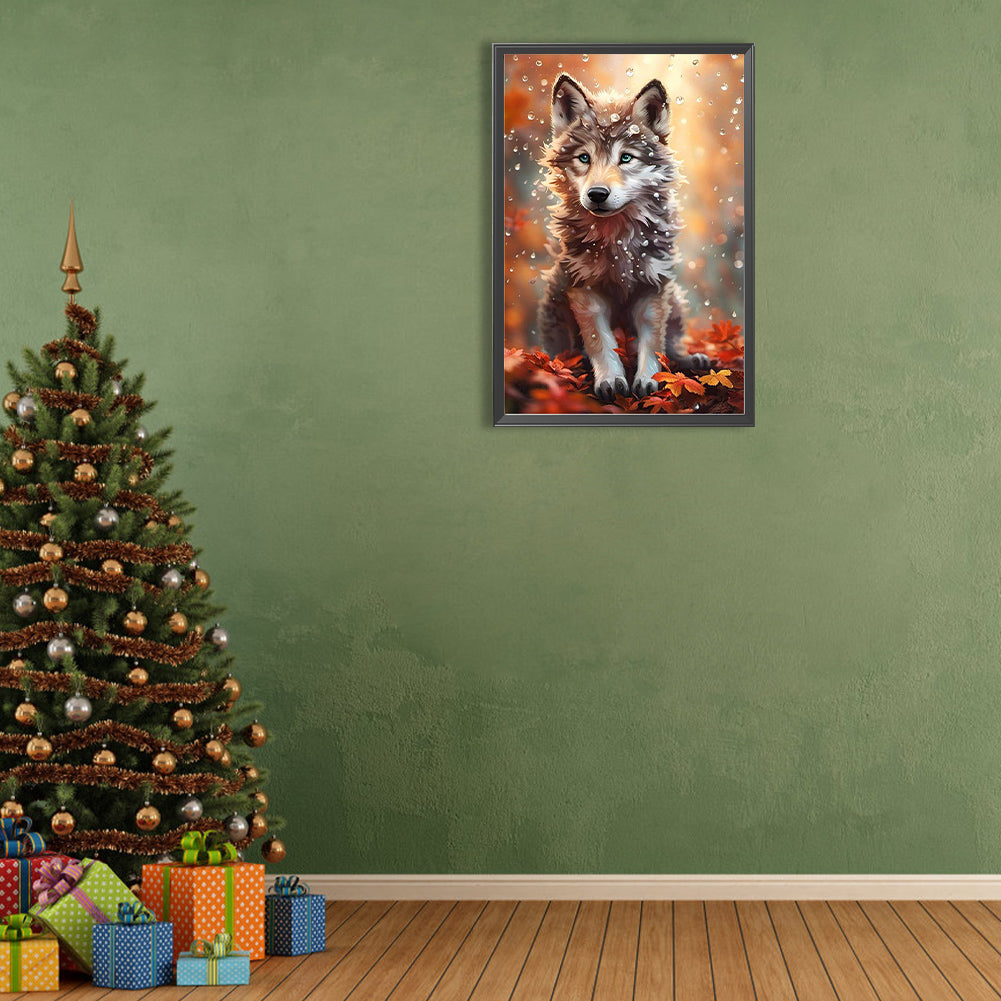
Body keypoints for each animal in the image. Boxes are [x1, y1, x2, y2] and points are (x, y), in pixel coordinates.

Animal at [538, 74, 709, 401]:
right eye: (584, 158)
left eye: (626, 158)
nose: (597, 194)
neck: (618, 240)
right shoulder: (584, 290)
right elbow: (600, 341)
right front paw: (610, 380)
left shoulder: (653, 288)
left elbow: (653, 342)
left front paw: (649, 380)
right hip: (555, 293)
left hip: (674, 299)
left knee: (673, 342)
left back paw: (690, 359)